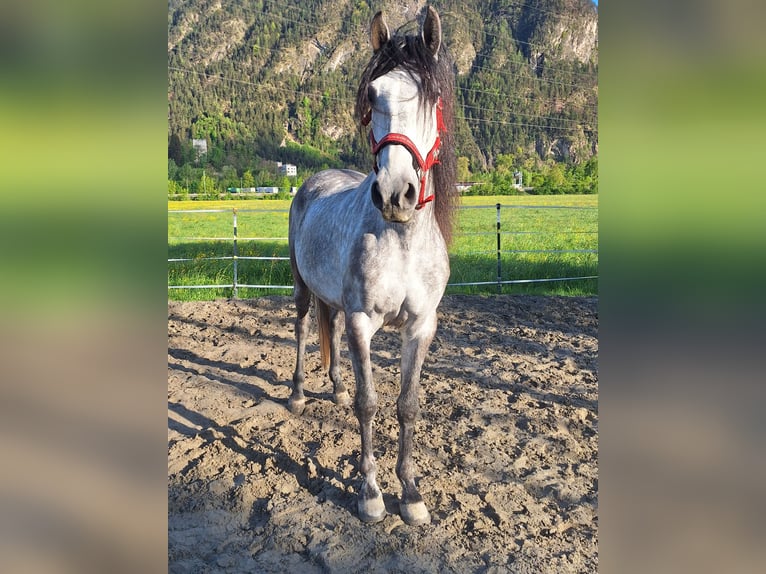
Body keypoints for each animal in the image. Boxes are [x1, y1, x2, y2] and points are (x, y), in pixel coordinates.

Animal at [287, 6, 458, 526]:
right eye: (372, 94)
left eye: (431, 98)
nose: (395, 193)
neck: (401, 240)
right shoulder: (364, 321)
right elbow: (368, 405)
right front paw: (371, 493)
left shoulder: (421, 326)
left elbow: (407, 406)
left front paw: (412, 493)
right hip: (303, 289)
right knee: (304, 328)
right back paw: (298, 394)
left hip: (335, 302)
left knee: (331, 332)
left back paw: (336, 388)